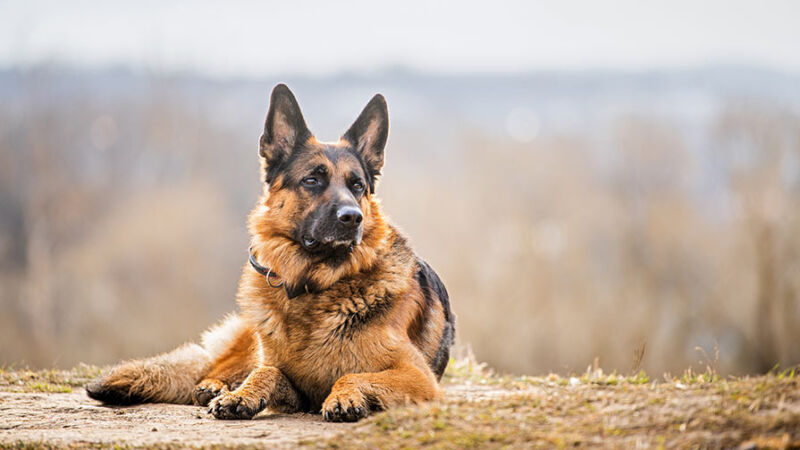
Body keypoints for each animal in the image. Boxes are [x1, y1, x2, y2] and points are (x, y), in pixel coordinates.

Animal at [86, 83, 456, 422]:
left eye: (357, 186)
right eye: (311, 181)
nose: (353, 218)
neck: (314, 287)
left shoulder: (418, 378)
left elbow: (352, 374)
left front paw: (345, 397)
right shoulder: (290, 382)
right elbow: (267, 371)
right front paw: (241, 395)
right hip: (250, 337)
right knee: (216, 367)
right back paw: (216, 386)